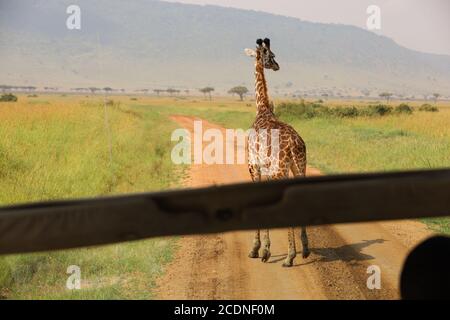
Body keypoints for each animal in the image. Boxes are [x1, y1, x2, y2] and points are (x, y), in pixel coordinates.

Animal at [244, 38, 312, 268]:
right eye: (271, 55)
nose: (276, 66)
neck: (262, 109)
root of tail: (294, 143)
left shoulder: (254, 166)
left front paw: (259, 250)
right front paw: (264, 248)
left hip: (280, 169)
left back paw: (290, 257)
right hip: (299, 166)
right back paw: (305, 250)